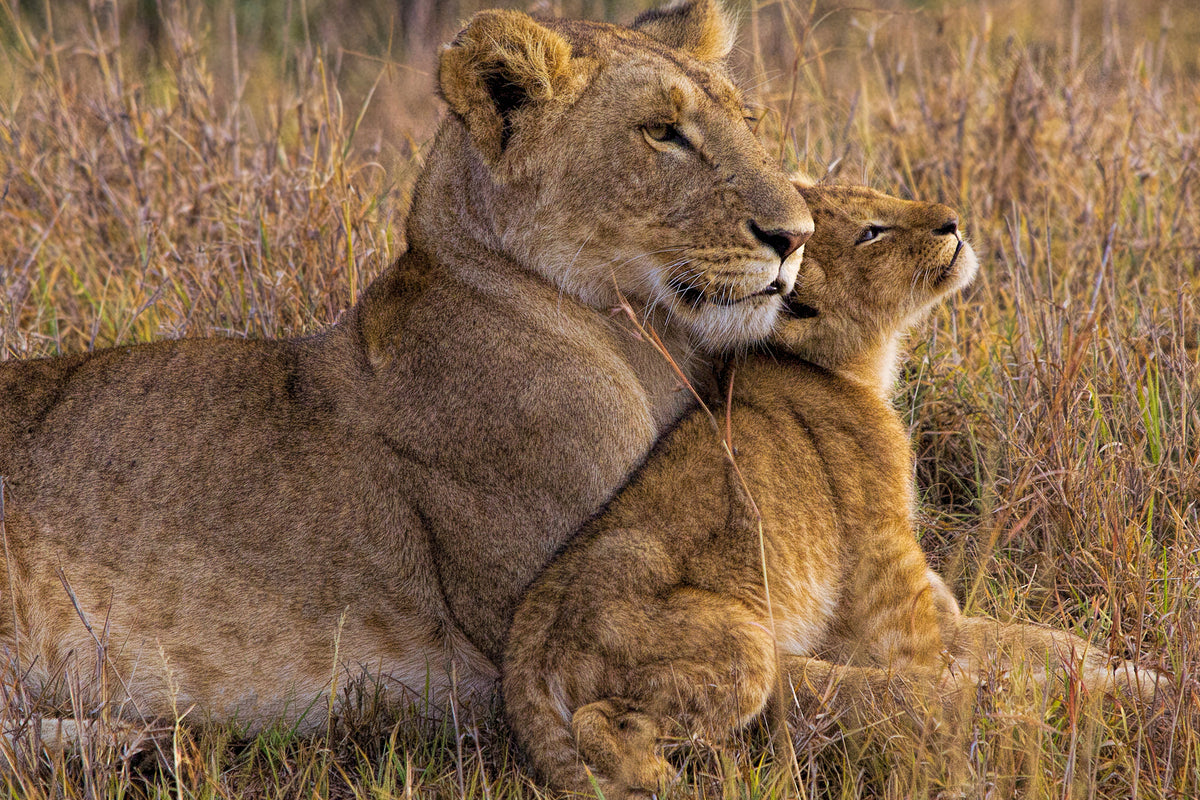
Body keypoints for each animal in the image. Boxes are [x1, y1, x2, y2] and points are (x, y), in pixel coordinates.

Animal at [0, 0, 811, 739]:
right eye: (661, 132)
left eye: (749, 120)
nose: (796, 236)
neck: (647, 349)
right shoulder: (568, 637)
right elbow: (820, 685)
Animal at [502, 183, 1164, 799]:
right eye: (871, 232)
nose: (953, 221)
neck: (857, 369)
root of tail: (521, 657)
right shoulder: (895, 612)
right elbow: (955, 678)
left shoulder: (943, 615)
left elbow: (1043, 642)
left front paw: (1135, 672)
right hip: (744, 645)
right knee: (599, 722)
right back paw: (673, 779)